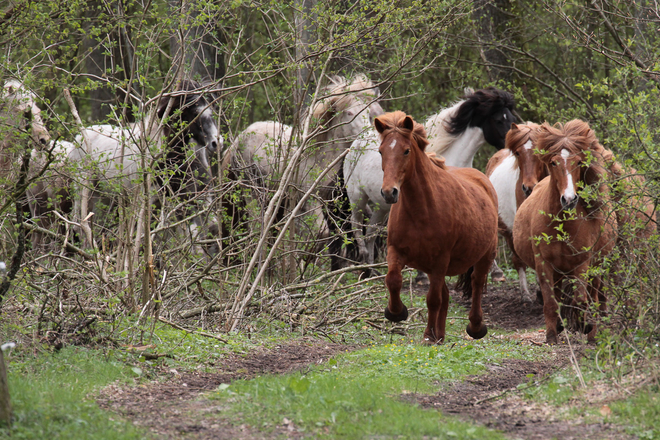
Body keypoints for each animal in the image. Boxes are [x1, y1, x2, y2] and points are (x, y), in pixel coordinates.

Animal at [67, 81, 222, 256]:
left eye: (213, 110)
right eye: (195, 111)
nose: (216, 143)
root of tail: (78, 139)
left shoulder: (191, 198)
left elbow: (200, 233)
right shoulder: (153, 200)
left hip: (104, 195)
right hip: (83, 190)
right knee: (79, 225)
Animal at [342, 86, 520, 272]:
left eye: (513, 119)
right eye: (498, 120)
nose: (513, 145)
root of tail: (356, 143)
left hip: (382, 205)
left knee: (370, 232)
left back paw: (370, 269)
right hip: (357, 198)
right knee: (356, 226)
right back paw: (363, 262)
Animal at [374, 110, 498, 344]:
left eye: (406, 150)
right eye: (380, 151)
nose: (389, 192)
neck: (421, 210)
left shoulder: (441, 259)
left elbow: (433, 299)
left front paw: (427, 334)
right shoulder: (396, 251)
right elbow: (393, 280)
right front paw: (396, 312)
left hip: (485, 255)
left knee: (476, 284)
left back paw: (475, 327)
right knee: (446, 295)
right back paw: (439, 334)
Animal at [484, 124, 548, 302]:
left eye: (539, 151)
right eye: (518, 153)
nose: (528, 187)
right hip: (508, 230)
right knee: (518, 260)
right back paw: (524, 293)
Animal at [512, 119, 616, 344]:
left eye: (578, 163)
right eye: (553, 162)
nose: (569, 199)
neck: (563, 226)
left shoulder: (582, 264)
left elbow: (580, 300)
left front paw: (585, 326)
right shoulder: (544, 264)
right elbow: (551, 302)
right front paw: (552, 335)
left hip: (596, 267)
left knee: (594, 296)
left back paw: (592, 333)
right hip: (558, 272)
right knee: (558, 297)